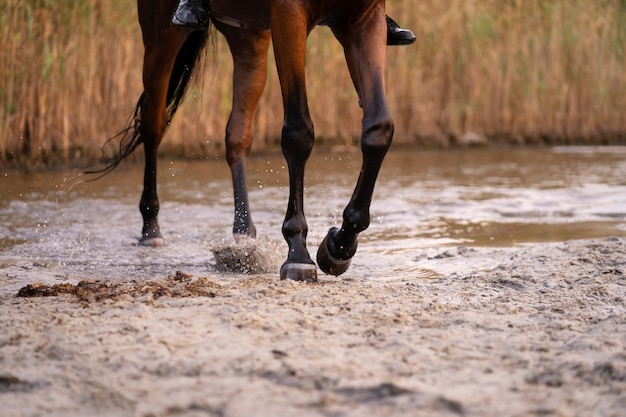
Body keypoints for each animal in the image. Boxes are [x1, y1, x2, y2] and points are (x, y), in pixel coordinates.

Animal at [103, 0, 394, 282]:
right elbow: (298, 133)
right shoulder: (289, 15)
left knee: (237, 135)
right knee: (153, 125)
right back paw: (150, 228)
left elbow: (379, 130)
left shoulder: (364, 20)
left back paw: (244, 233)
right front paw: (298, 254)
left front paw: (339, 246)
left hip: (249, 39)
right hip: (161, 35)